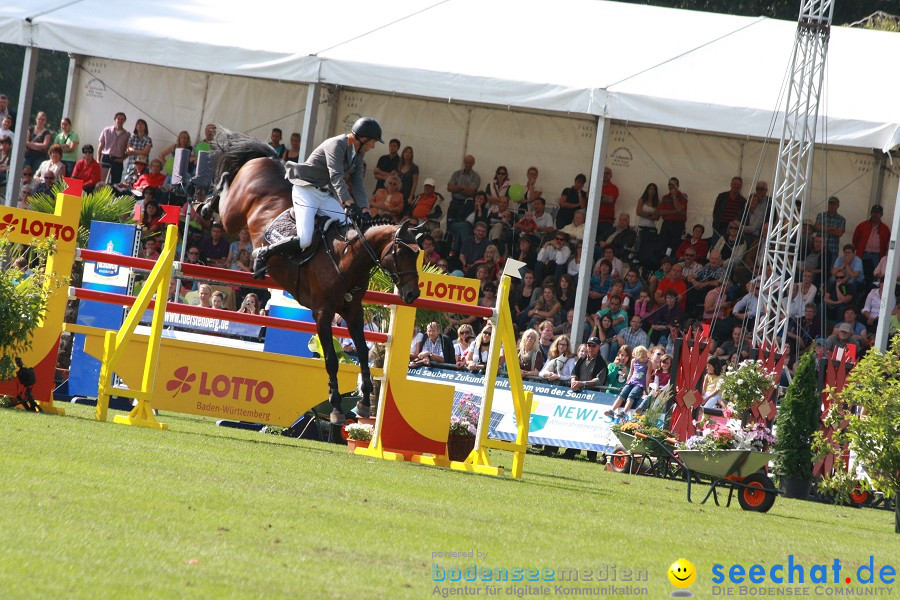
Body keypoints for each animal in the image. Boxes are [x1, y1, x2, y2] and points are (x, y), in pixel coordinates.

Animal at [200, 131, 422, 422]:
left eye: (418, 255)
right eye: (401, 252)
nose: (412, 294)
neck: (346, 257)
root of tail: (271, 159)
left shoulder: (353, 311)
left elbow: (363, 352)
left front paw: (363, 402)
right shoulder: (323, 313)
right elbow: (330, 359)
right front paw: (337, 406)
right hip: (232, 216)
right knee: (225, 190)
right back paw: (207, 207)